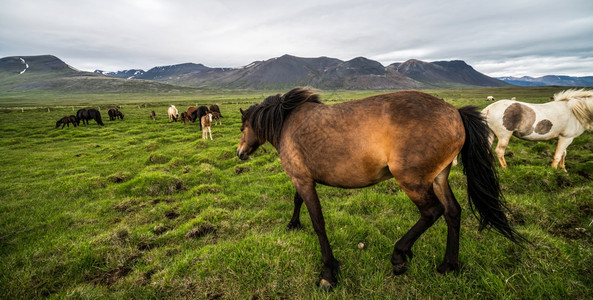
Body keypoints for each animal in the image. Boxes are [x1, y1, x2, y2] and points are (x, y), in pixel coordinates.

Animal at [236, 88, 524, 290]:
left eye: (242, 127)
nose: (239, 153)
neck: (286, 122)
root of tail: (455, 112)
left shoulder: (303, 180)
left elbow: (318, 223)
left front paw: (329, 272)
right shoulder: (302, 178)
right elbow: (298, 202)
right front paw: (294, 223)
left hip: (412, 180)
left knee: (432, 211)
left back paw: (400, 255)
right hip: (439, 177)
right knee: (453, 212)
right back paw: (448, 265)